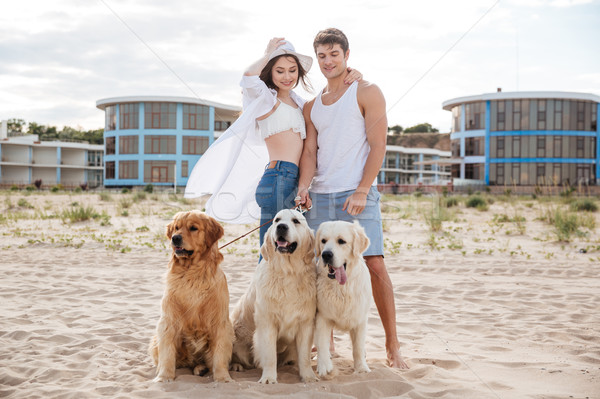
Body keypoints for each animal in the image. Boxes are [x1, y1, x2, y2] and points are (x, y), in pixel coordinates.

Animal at [230, 209, 318, 384]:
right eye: (277, 220)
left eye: (296, 221)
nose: (282, 227)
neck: (288, 272)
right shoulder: (267, 322)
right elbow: (270, 355)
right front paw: (269, 378)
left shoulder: (305, 323)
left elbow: (304, 356)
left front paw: (308, 376)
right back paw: (236, 366)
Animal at [312, 222, 372, 378]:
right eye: (323, 241)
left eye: (341, 241)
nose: (326, 254)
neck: (341, 288)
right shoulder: (322, 317)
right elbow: (322, 343)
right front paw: (324, 366)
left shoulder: (360, 319)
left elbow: (358, 347)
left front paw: (361, 368)